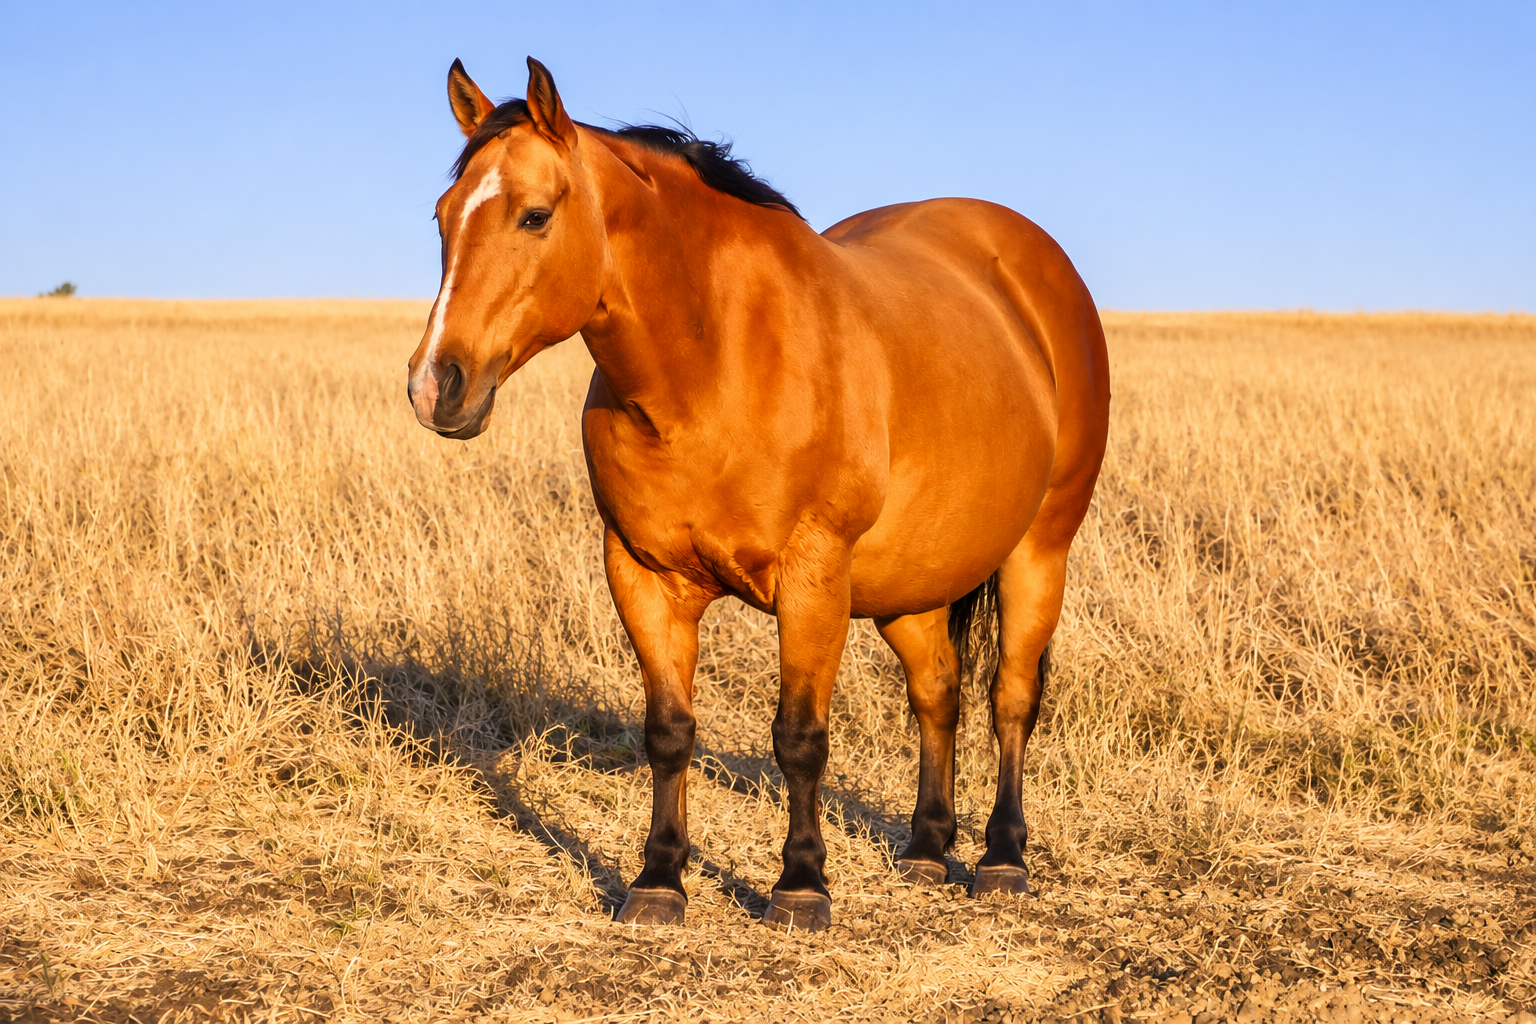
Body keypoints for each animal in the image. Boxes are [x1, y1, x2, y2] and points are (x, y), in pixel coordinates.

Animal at [407, 57, 1110, 931]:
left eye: (535, 216)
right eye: (442, 218)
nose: (435, 387)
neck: (716, 363)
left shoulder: (813, 579)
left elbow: (799, 736)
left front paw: (801, 885)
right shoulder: (642, 575)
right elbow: (669, 731)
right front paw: (658, 879)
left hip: (1038, 551)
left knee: (1011, 695)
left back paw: (1003, 857)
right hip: (910, 584)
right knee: (936, 693)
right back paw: (924, 849)